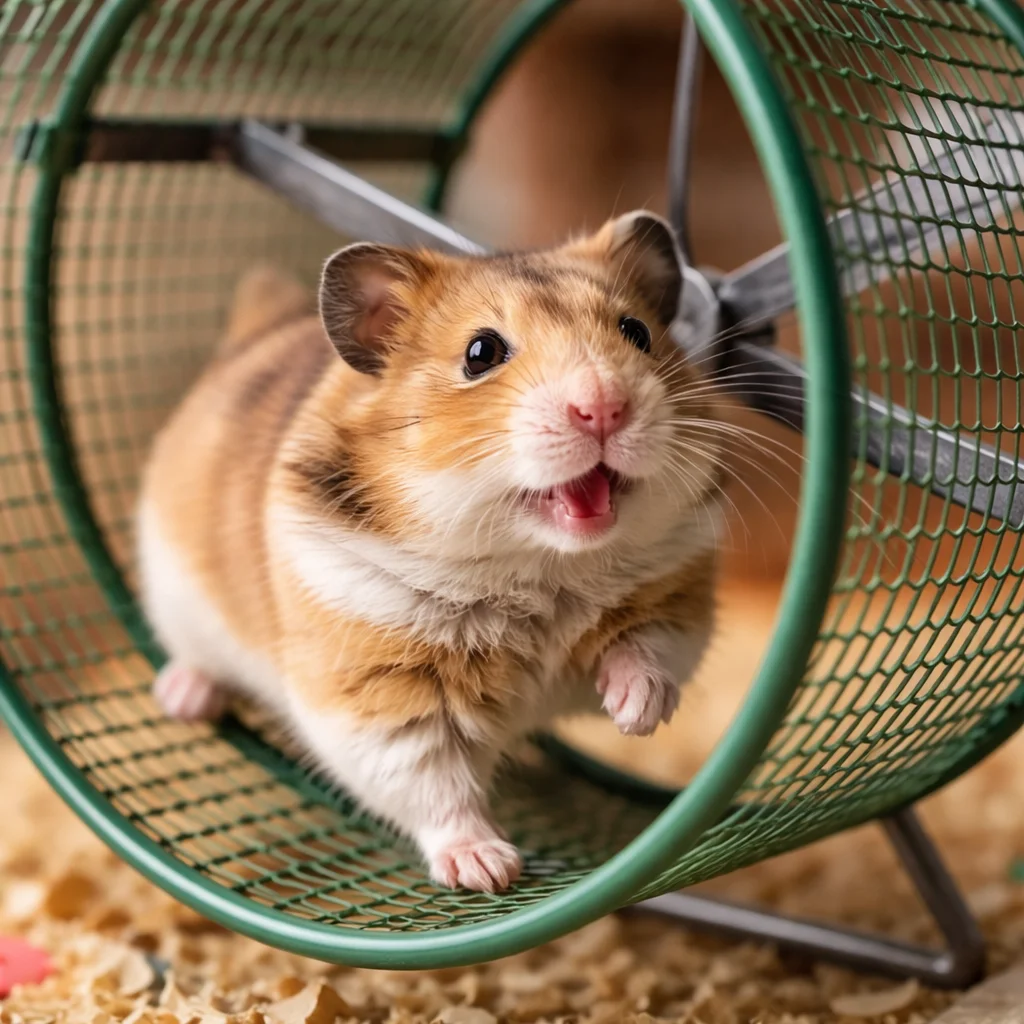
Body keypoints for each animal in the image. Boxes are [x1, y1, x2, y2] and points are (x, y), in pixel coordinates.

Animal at [137, 211, 726, 893]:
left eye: (637, 331)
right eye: (481, 353)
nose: (604, 406)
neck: (536, 567)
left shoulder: (678, 595)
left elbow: (648, 647)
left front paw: (636, 714)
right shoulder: (380, 699)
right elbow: (433, 785)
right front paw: (489, 871)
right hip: (174, 593)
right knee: (192, 658)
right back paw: (184, 697)